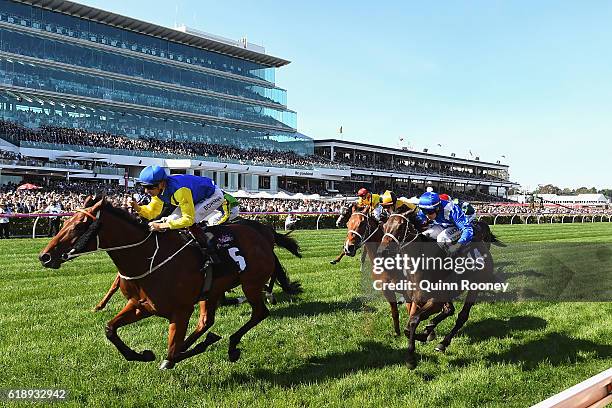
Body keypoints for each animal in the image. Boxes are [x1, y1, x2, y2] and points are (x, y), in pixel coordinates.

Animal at [38, 198, 302, 370]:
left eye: (78, 225)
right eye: (64, 222)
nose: (45, 256)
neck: (148, 258)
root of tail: (264, 232)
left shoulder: (181, 310)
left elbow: (172, 353)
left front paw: (190, 349)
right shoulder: (141, 305)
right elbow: (110, 329)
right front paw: (143, 355)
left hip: (250, 283)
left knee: (259, 313)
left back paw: (233, 344)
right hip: (212, 291)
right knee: (206, 321)